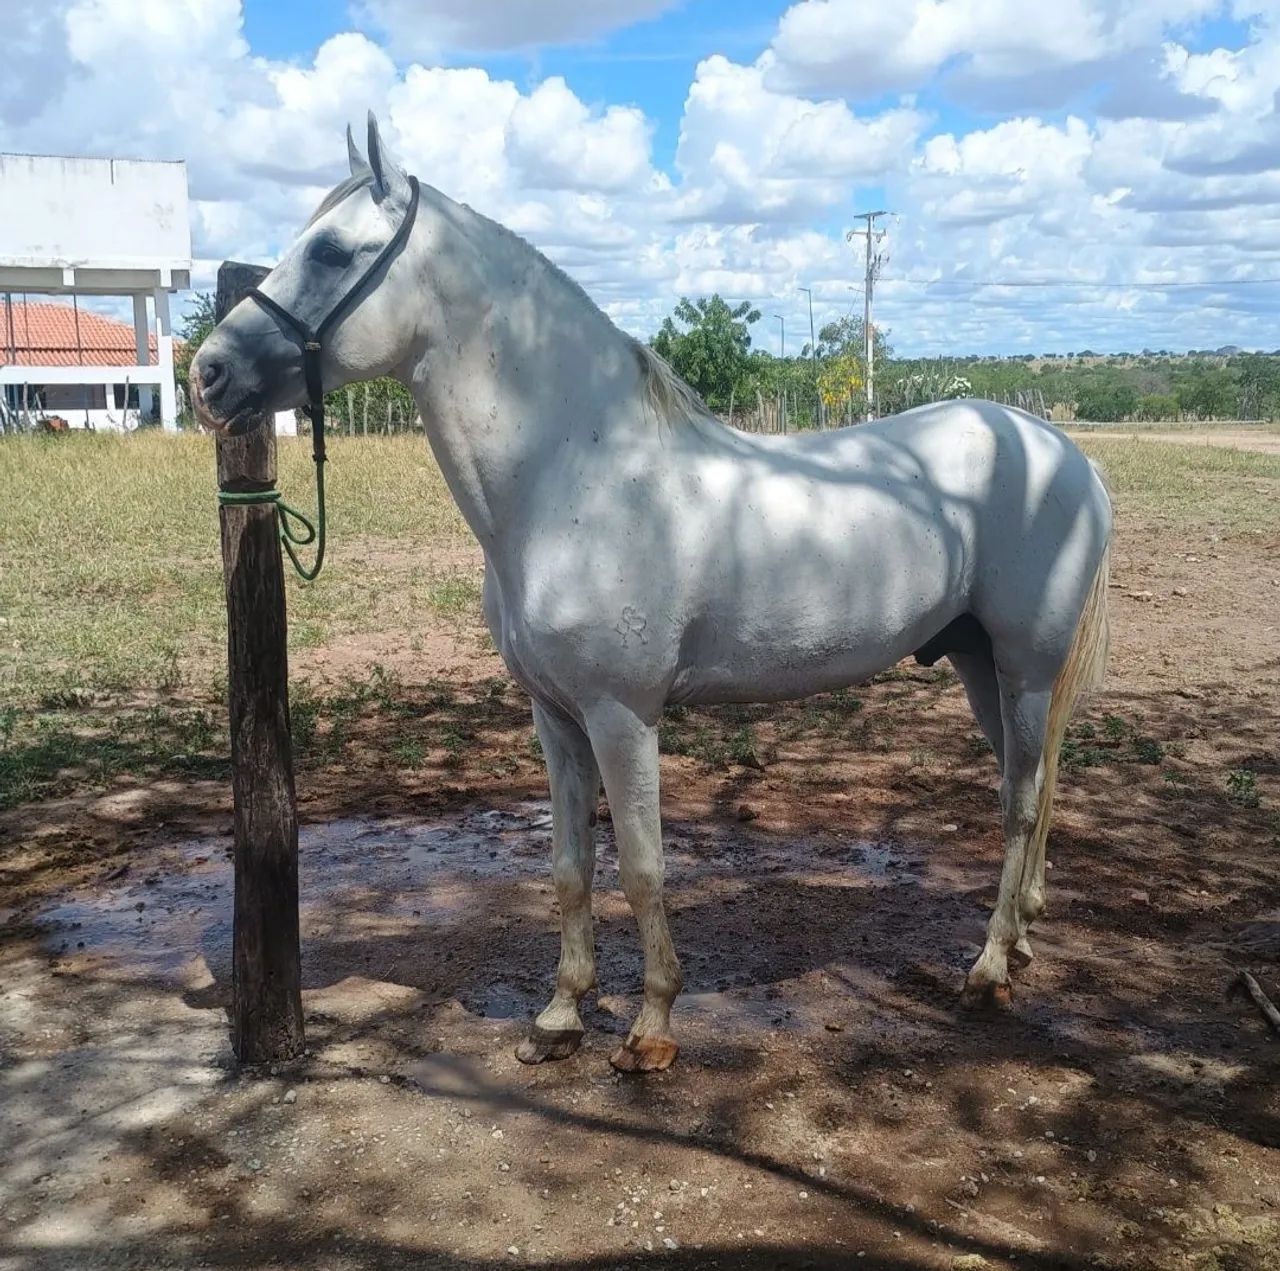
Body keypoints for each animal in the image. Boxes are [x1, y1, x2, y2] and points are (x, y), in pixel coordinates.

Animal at [192, 115, 1112, 1074]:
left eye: (331, 250)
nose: (207, 374)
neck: (577, 475)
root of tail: (1063, 453)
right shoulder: (555, 716)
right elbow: (570, 867)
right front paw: (560, 1015)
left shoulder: (621, 714)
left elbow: (641, 866)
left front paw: (652, 1026)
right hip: (978, 663)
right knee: (1029, 786)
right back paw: (1020, 941)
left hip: (1027, 668)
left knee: (1020, 803)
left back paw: (990, 968)